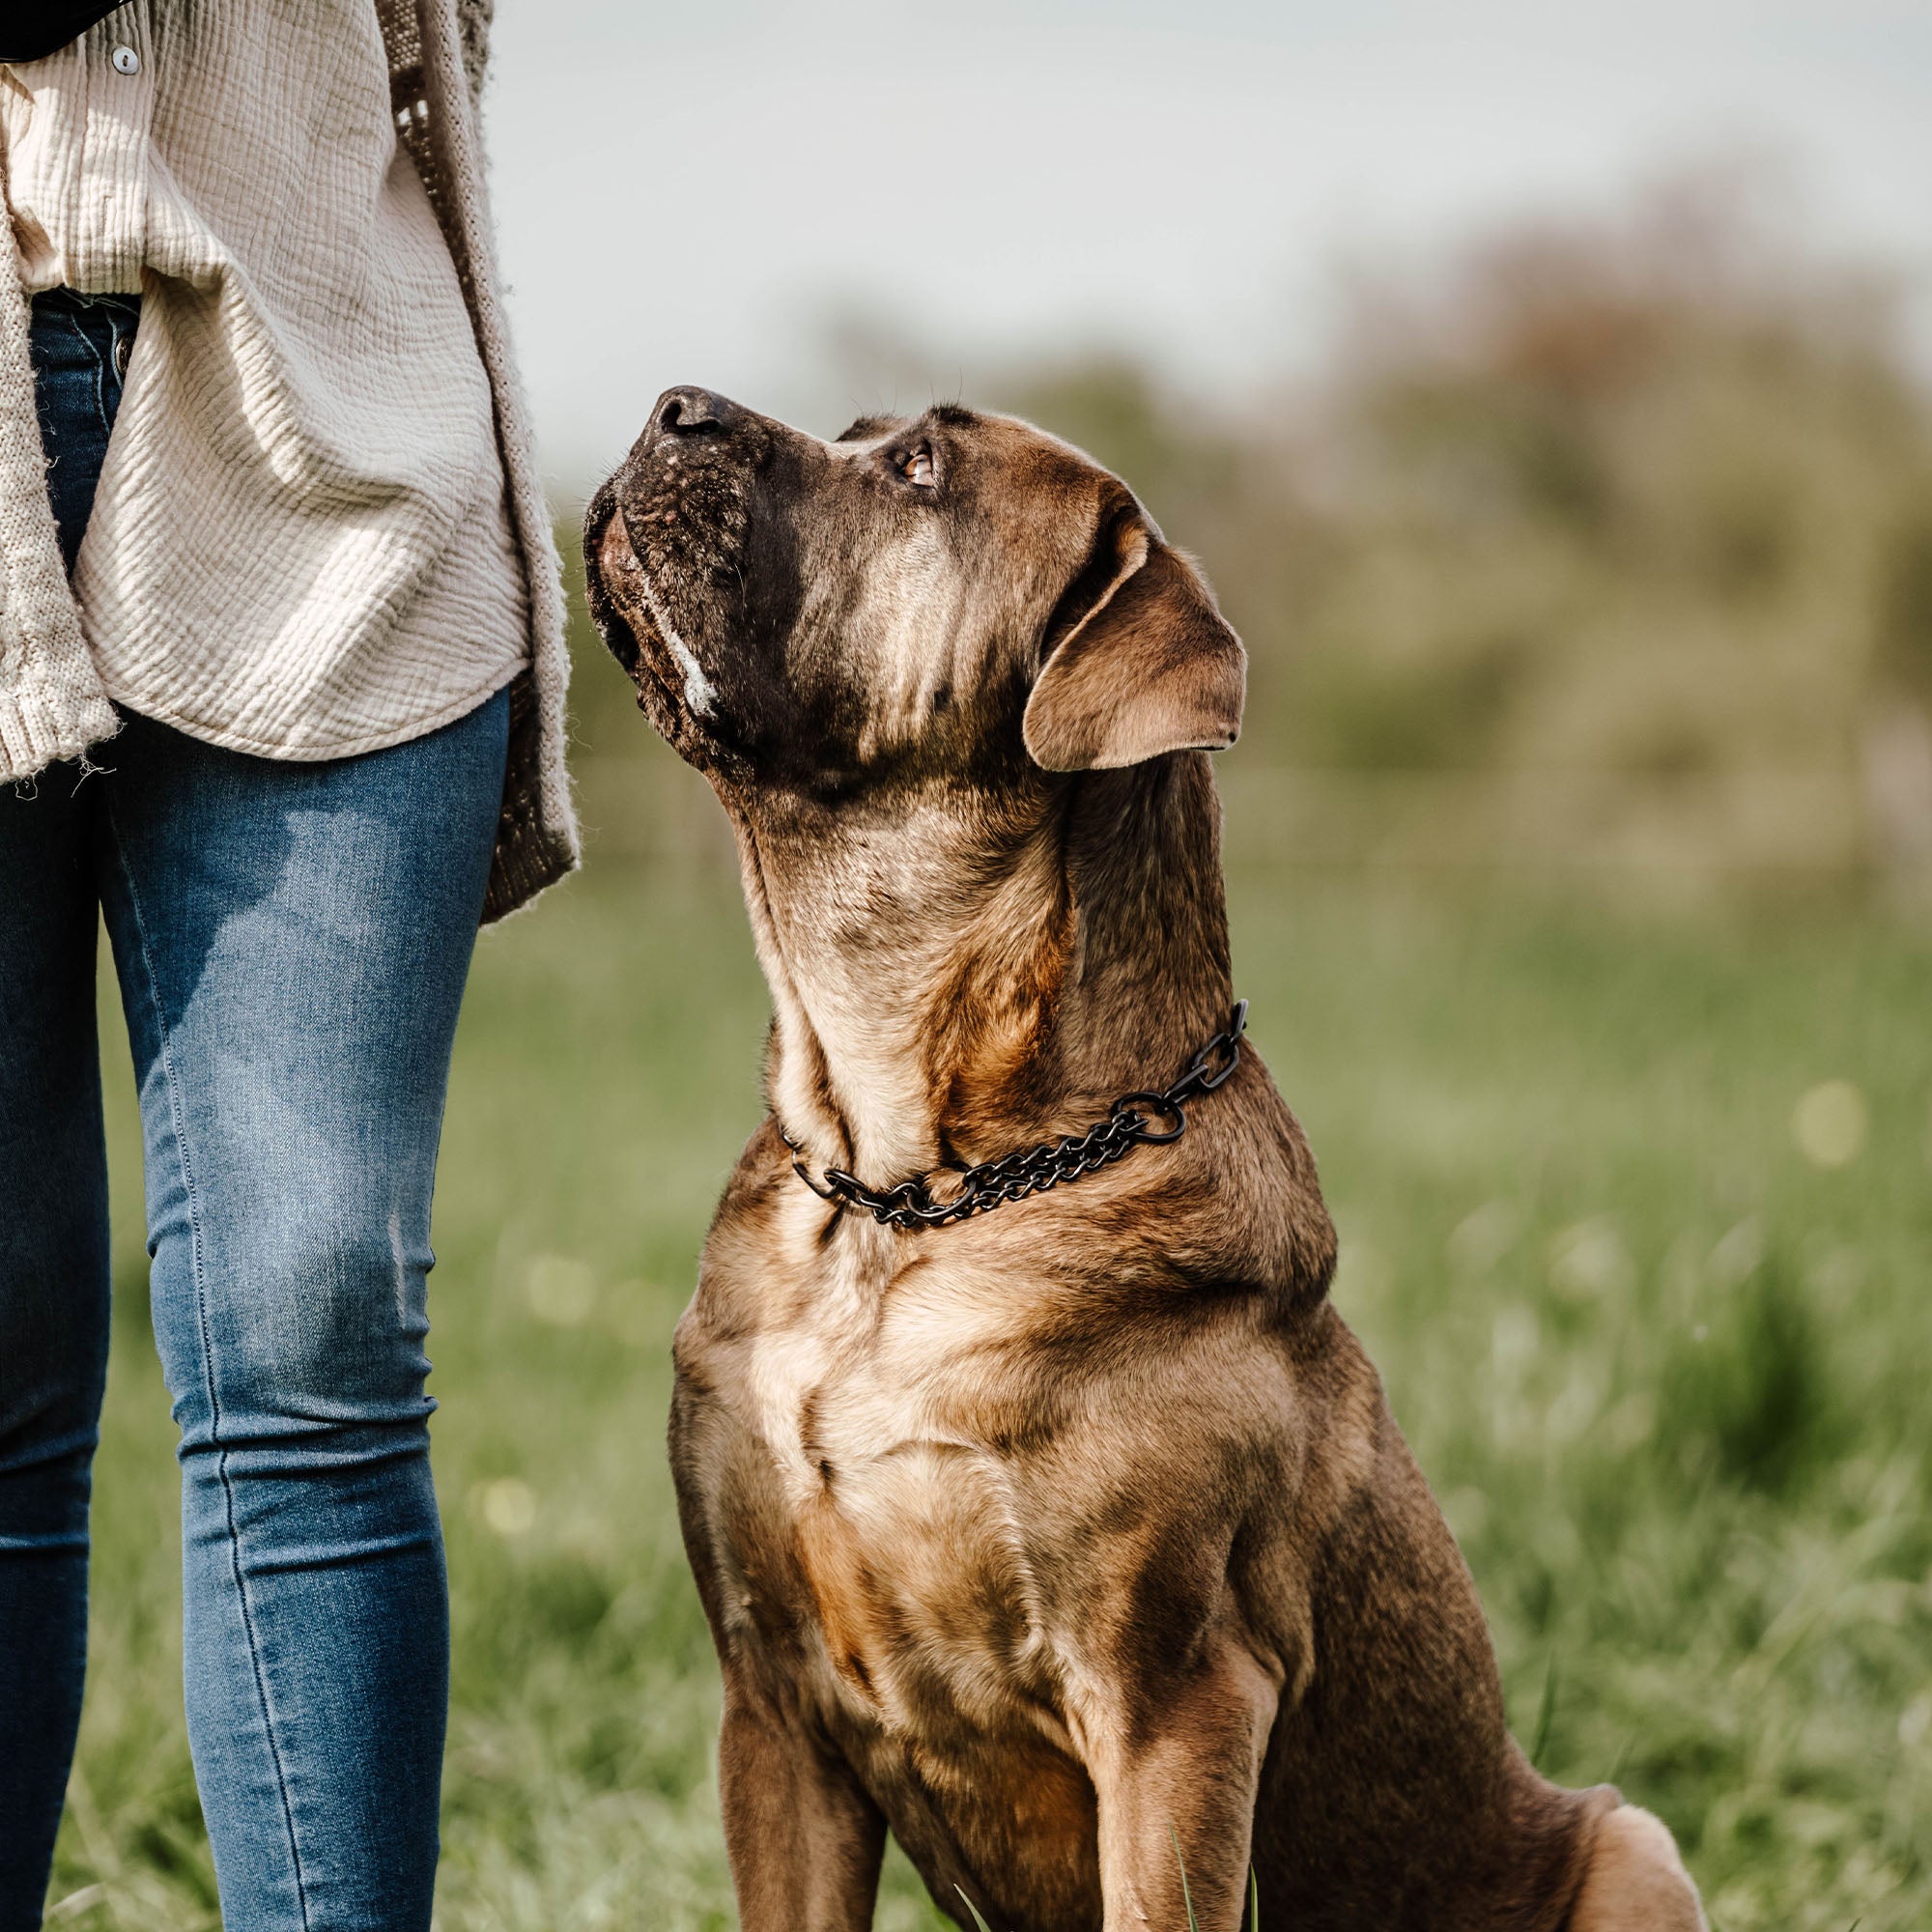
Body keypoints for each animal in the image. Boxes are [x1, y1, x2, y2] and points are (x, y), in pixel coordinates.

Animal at [580, 388, 1700, 1932]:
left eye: (918, 471)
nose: (671, 404)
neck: (906, 1193)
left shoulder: (1172, 1702)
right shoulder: (773, 1708)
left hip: (1632, 1843)